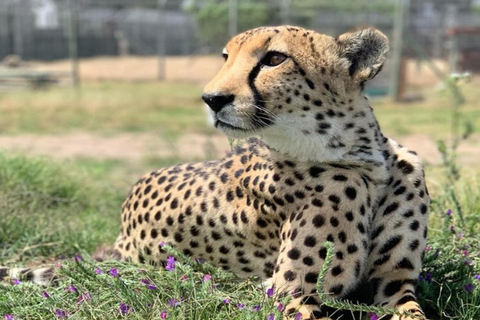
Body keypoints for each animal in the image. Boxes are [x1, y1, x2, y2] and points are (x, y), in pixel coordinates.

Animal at [0, 26, 432, 318]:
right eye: (226, 57)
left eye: (275, 59)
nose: (212, 99)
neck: (364, 159)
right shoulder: (291, 294)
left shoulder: (394, 283)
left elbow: (414, 312)